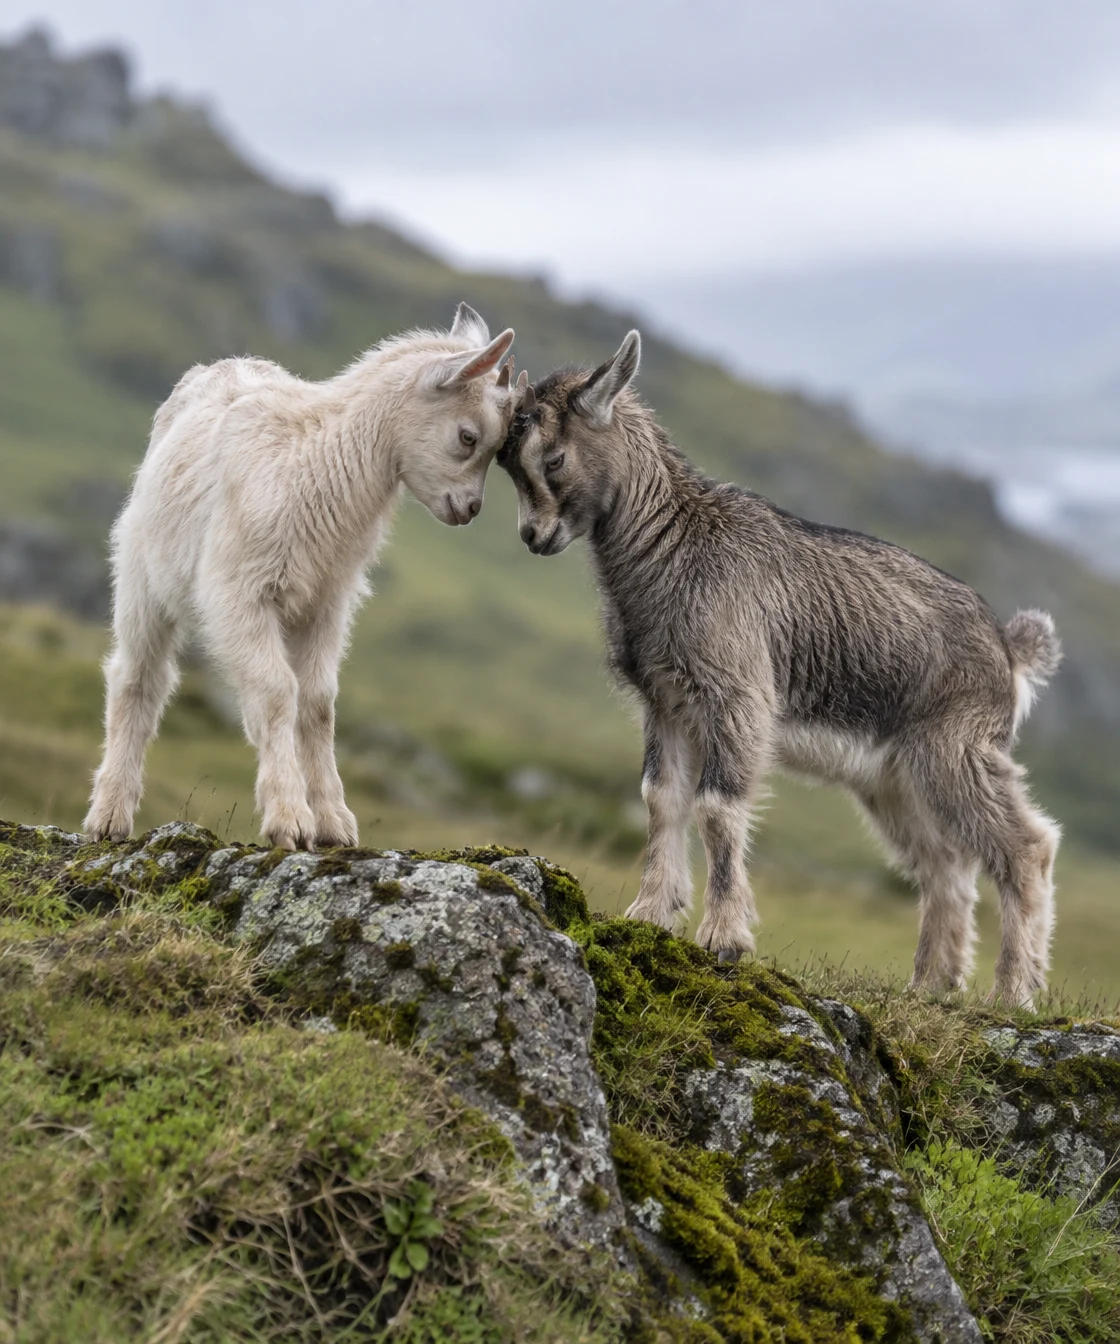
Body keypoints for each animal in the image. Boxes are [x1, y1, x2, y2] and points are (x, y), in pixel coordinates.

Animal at [85, 303, 521, 851]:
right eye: (468, 437)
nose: (469, 510)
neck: (313, 462)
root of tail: (223, 364)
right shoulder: (240, 593)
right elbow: (276, 693)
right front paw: (289, 820)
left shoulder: (328, 603)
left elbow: (318, 703)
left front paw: (334, 823)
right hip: (142, 576)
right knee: (139, 678)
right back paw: (108, 815)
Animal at [497, 330, 1062, 1007]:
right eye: (506, 462)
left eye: (553, 457)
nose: (533, 536)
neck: (674, 548)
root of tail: (1008, 647)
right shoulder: (665, 703)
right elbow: (661, 799)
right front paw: (649, 914)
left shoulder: (737, 699)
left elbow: (716, 809)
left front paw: (723, 937)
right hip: (896, 780)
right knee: (946, 865)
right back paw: (928, 986)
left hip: (957, 750)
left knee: (1026, 847)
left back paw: (1014, 991)